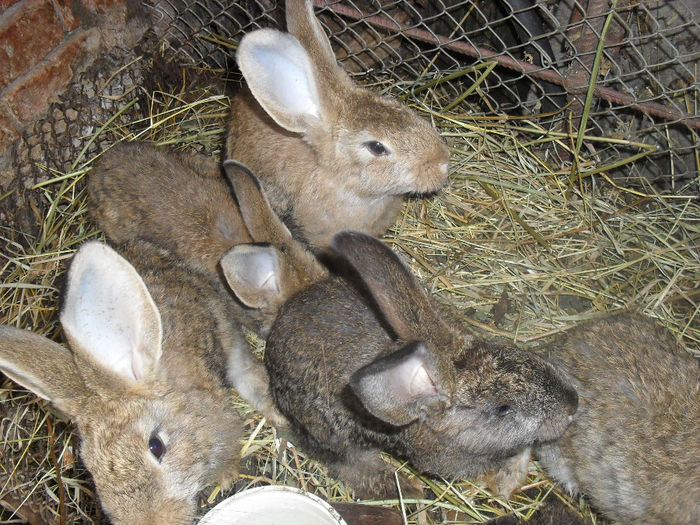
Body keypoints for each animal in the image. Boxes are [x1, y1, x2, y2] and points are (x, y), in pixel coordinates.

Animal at [264, 231, 580, 498]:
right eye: (503, 409)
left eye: (512, 351)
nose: (572, 405)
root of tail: (273, 342)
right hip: (332, 437)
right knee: (351, 465)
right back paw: (407, 487)